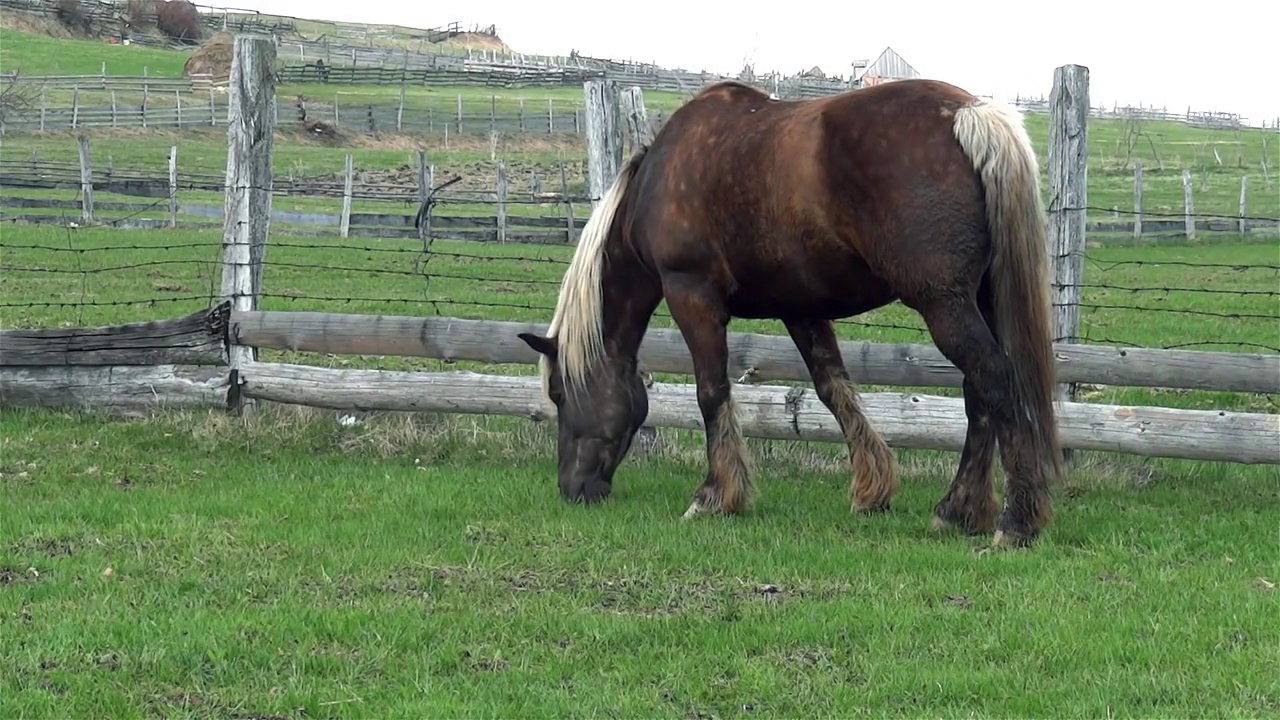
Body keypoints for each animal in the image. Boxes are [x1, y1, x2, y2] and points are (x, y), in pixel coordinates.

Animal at [514, 78, 1064, 545]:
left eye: (559, 393)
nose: (572, 488)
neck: (659, 176)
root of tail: (969, 113)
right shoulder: (801, 309)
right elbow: (833, 389)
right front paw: (871, 489)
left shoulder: (692, 295)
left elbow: (711, 392)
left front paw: (715, 496)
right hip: (977, 302)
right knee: (978, 394)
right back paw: (958, 509)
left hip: (942, 304)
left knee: (994, 379)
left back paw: (1015, 522)